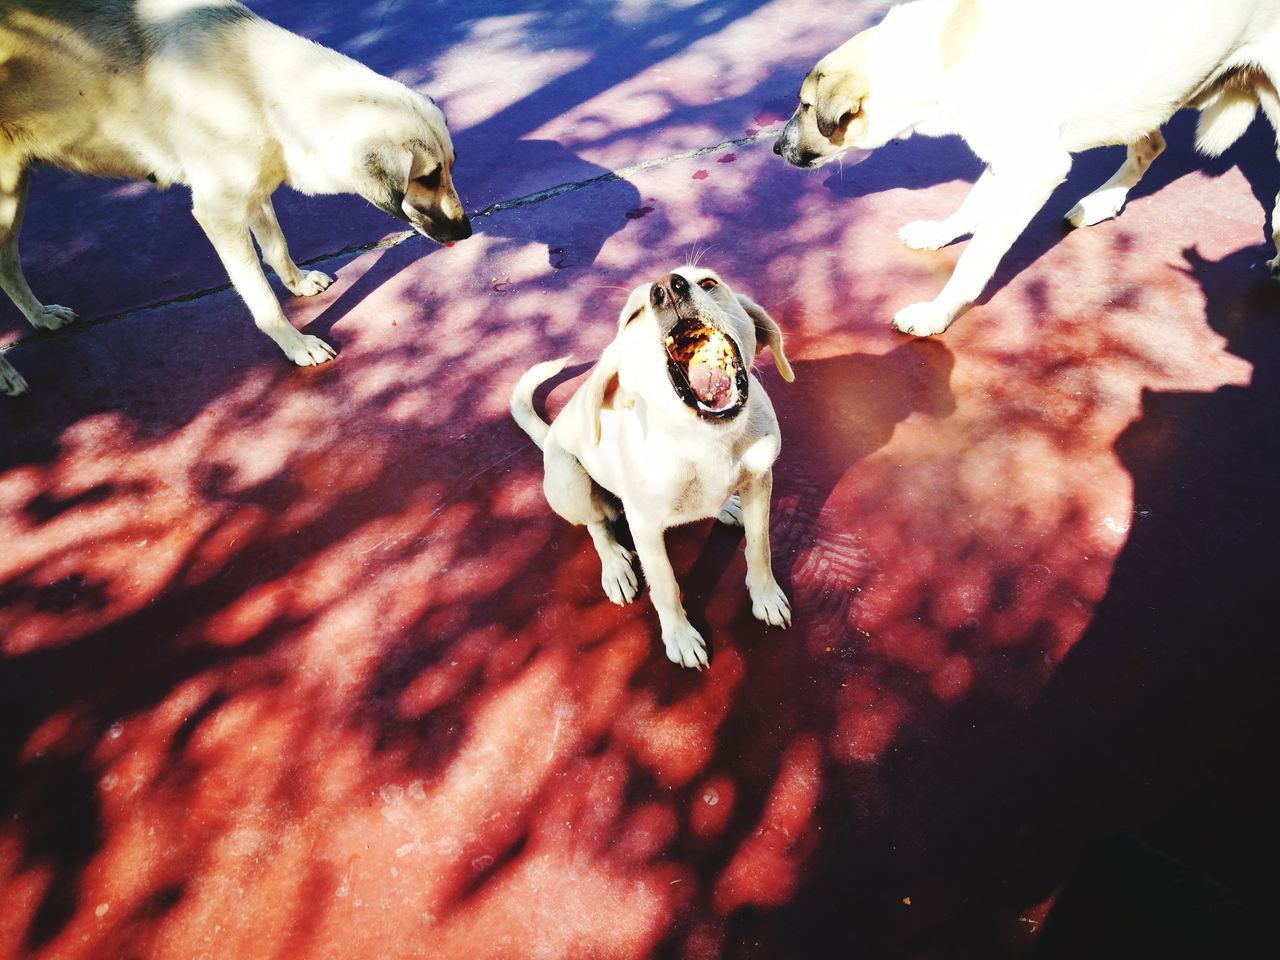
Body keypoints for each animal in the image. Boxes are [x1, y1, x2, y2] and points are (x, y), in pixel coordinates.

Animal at [0, 0, 471, 396]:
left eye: (451, 166)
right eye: (427, 177)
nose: (467, 232)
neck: (258, 89)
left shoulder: (254, 193)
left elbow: (278, 248)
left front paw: (298, 283)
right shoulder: (218, 214)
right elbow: (262, 300)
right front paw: (295, 344)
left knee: (7, 266)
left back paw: (41, 317)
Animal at [506, 263, 788, 670]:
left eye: (708, 283)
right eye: (633, 316)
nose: (667, 288)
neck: (705, 440)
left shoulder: (761, 482)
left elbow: (759, 547)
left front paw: (765, 596)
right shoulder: (645, 527)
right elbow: (666, 585)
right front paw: (680, 638)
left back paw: (724, 507)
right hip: (568, 479)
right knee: (596, 526)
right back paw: (615, 567)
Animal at [768, 0, 1280, 337]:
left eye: (806, 106)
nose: (774, 147)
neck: (936, 57)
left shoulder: (1034, 168)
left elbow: (976, 260)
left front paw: (937, 314)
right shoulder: (1005, 157)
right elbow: (970, 205)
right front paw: (939, 233)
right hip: (1140, 98)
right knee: (1150, 144)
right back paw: (1101, 202)